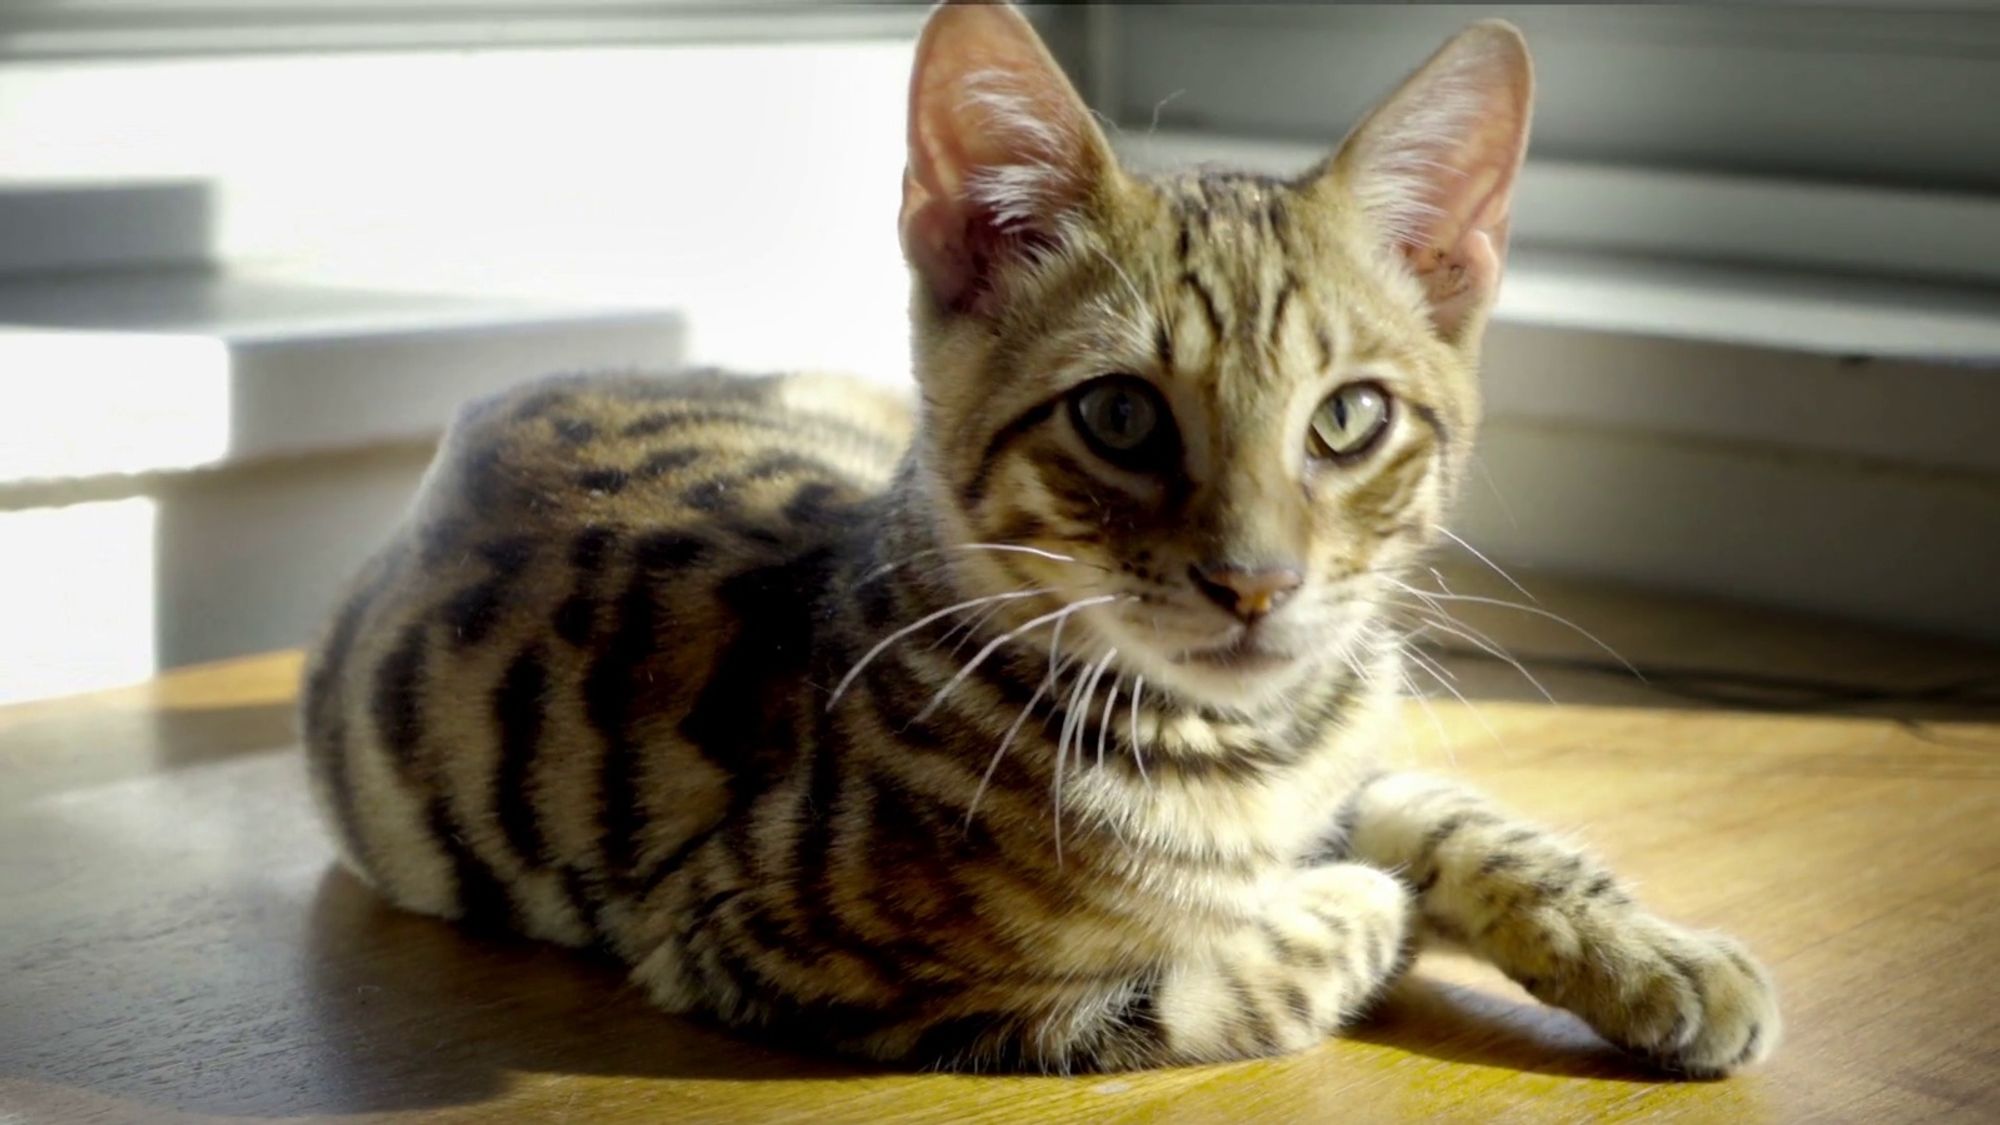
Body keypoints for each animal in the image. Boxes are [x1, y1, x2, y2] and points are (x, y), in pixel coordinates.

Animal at [300, 4, 1784, 1080]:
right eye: (1119, 415)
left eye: (1348, 417)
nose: (1257, 583)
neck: (1239, 751)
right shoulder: (784, 951)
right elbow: (1210, 980)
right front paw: (1365, 915)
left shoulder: (1349, 761)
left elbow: (1466, 822)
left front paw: (1663, 955)